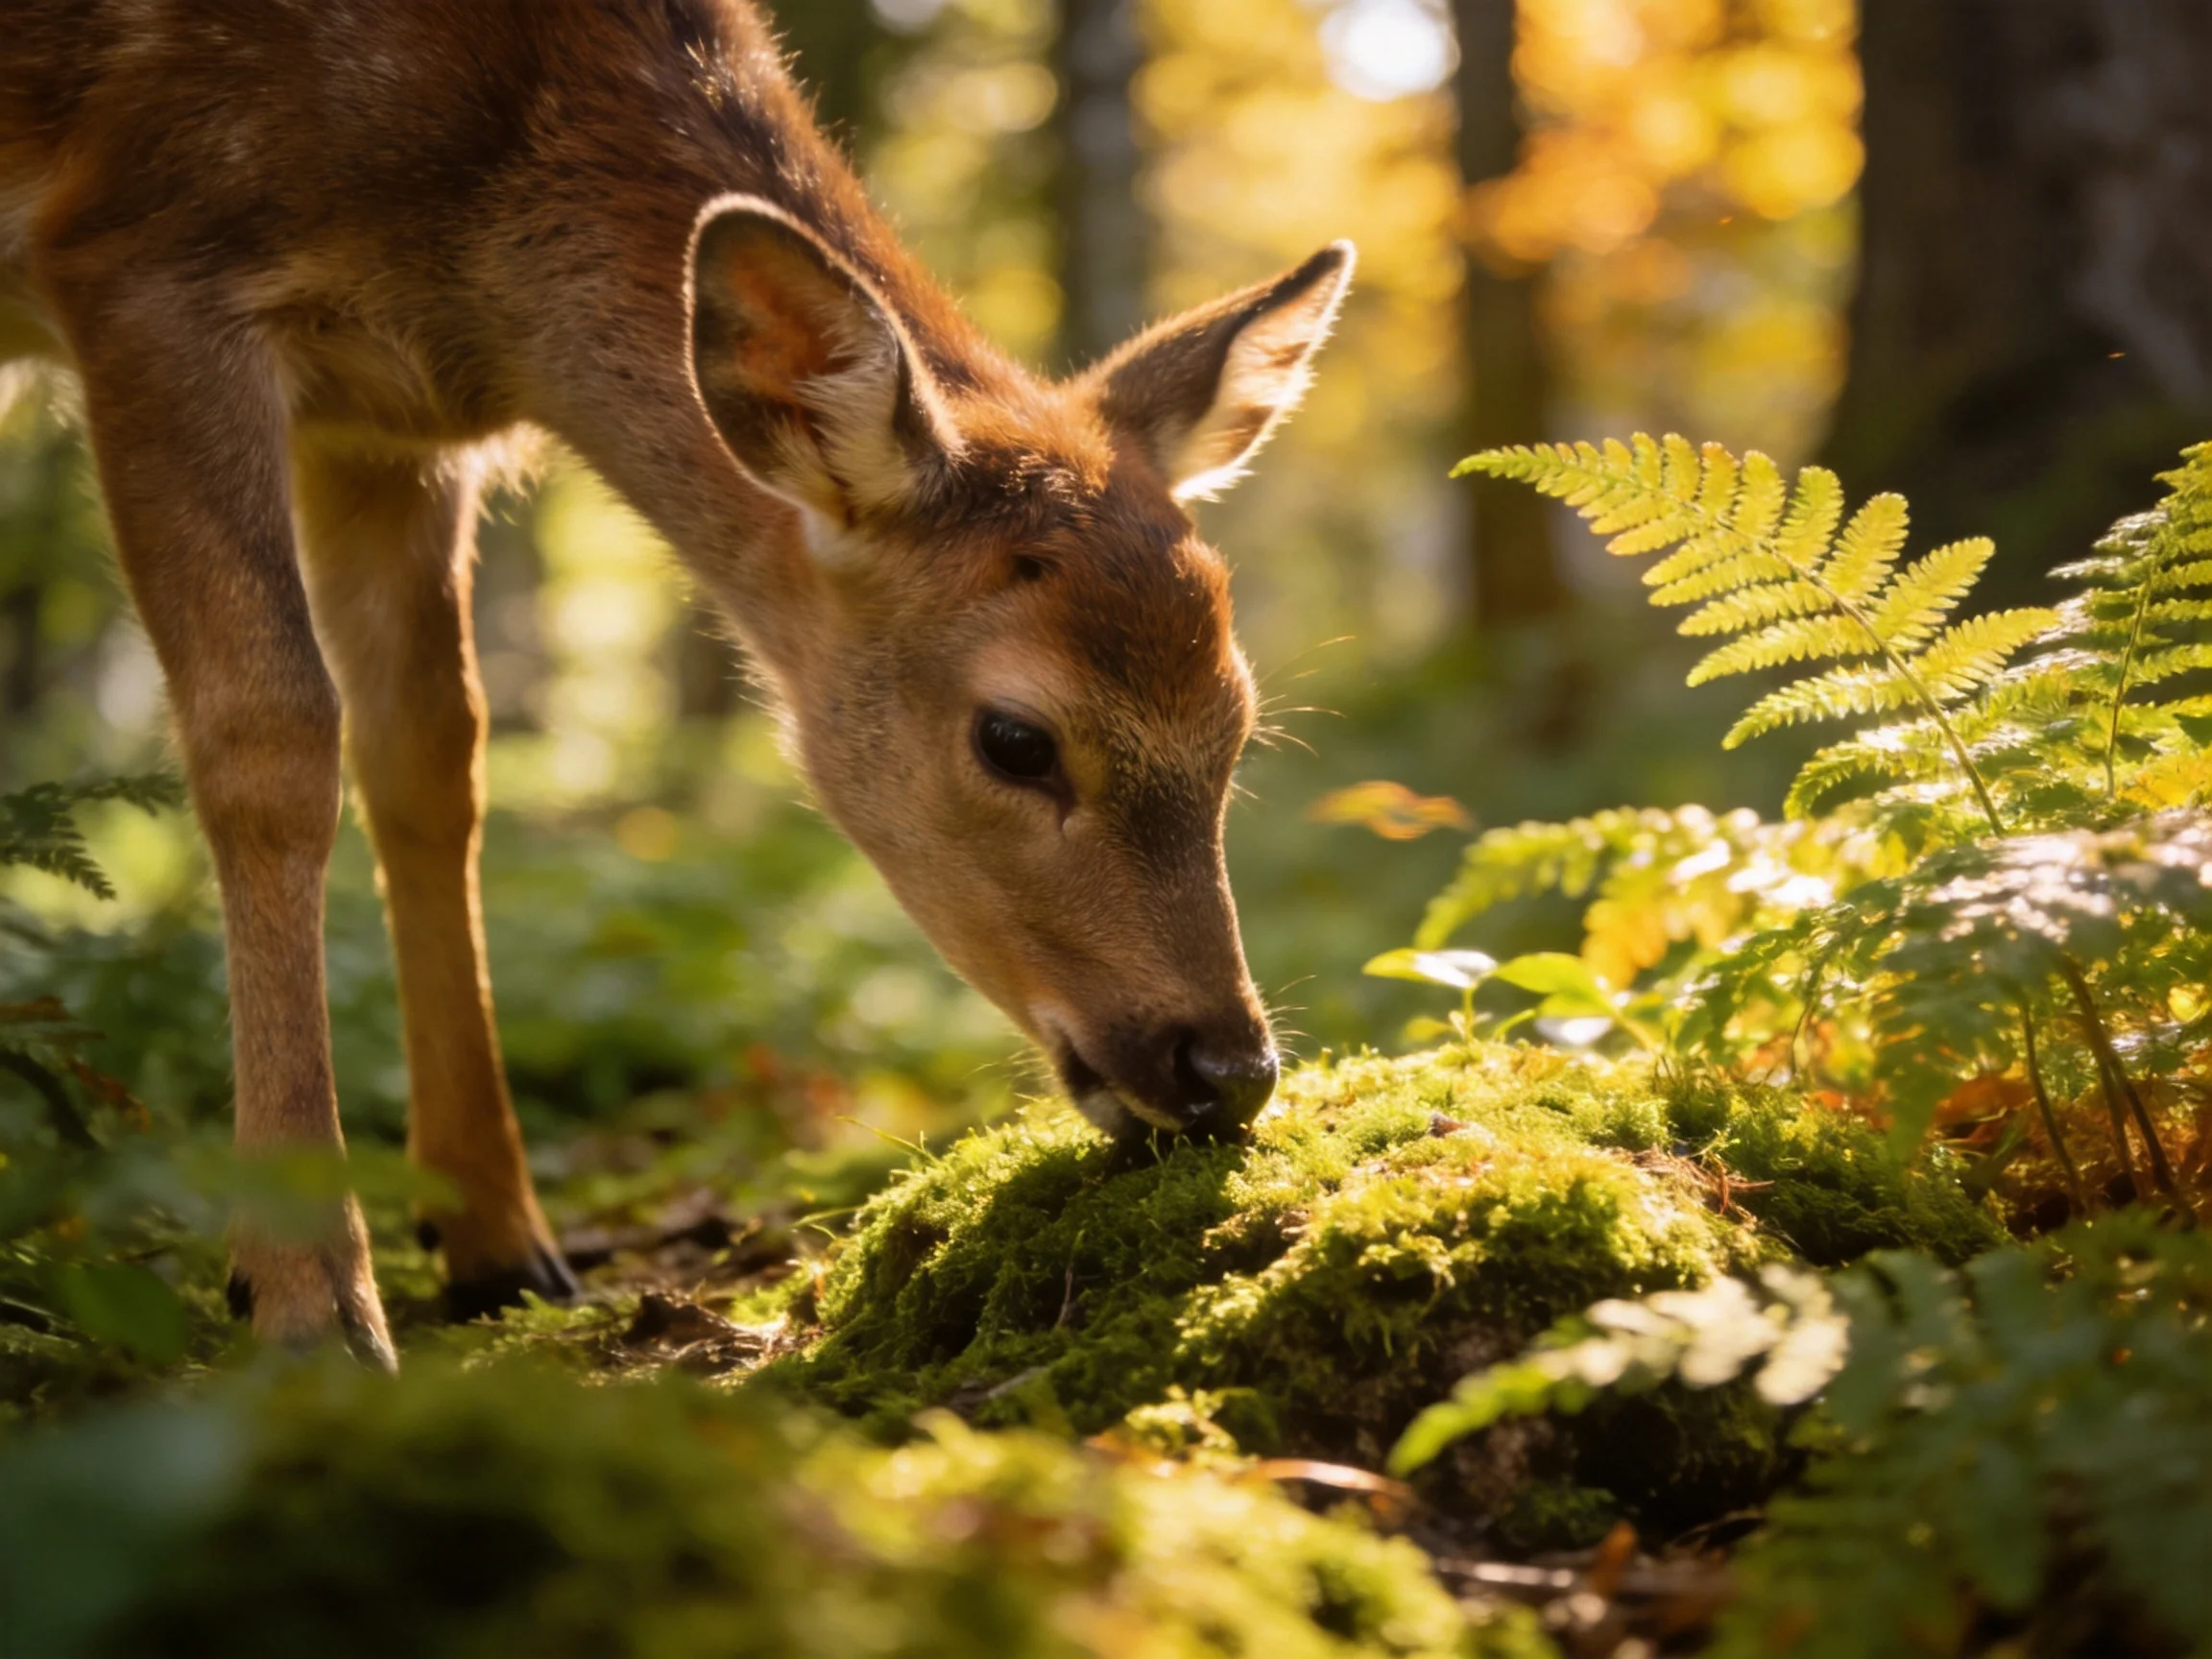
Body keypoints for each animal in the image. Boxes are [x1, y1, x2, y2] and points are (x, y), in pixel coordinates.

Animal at [0, 0, 1353, 1369]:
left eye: (1240, 723)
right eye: (1016, 738)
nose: (1228, 1070)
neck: (473, 254)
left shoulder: (383, 424)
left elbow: (431, 756)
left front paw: (499, 1242)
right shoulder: (146, 262)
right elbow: (271, 735)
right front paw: (307, 1298)